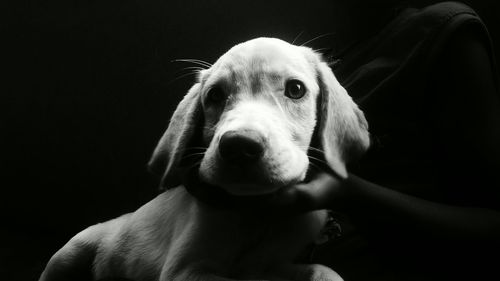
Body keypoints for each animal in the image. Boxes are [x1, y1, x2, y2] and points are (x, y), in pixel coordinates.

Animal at [40, 37, 368, 280]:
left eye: (296, 89)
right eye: (214, 95)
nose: (239, 147)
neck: (256, 214)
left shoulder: (278, 261)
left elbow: (322, 271)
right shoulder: (185, 271)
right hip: (69, 252)